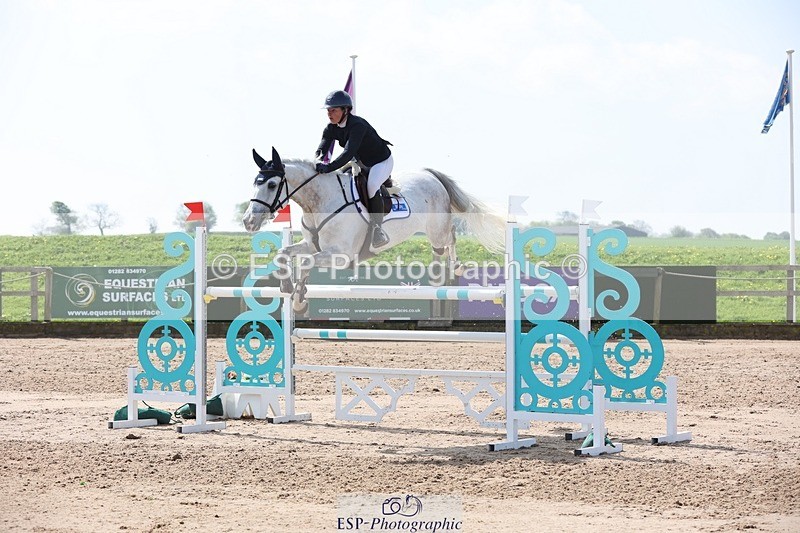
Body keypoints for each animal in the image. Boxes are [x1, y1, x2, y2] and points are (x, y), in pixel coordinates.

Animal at [242, 147, 505, 313]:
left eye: (272, 184)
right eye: (254, 182)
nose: (248, 222)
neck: (319, 202)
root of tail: (430, 174)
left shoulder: (341, 255)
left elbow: (306, 263)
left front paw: (298, 301)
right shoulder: (312, 245)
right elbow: (283, 253)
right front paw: (286, 286)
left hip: (436, 229)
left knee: (448, 238)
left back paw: (445, 272)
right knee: (445, 241)